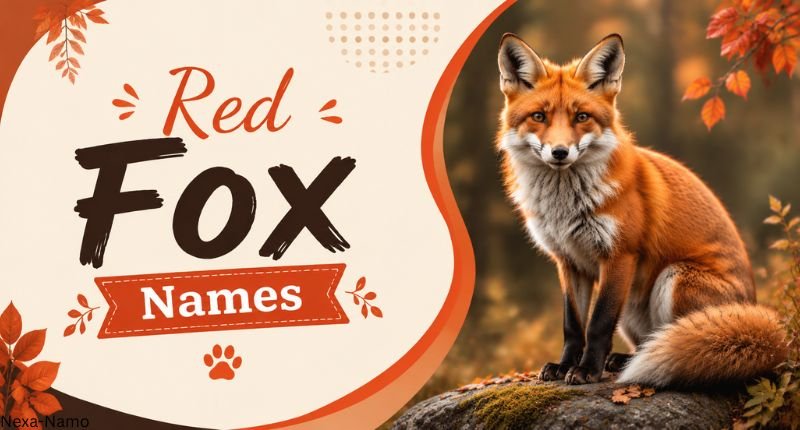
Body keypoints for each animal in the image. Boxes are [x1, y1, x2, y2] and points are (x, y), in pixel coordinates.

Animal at [495, 32, 788, 387]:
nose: (560, 152)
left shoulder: (619, 254)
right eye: (539, 116)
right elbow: (573, 325)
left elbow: (598, 324)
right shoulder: (568, 261)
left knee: (684, 342)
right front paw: (564, 366)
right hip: (633, 309)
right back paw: (623, 360)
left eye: (582, 117)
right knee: (649, 342)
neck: (565, 207)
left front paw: (587, 370)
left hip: (673, 278)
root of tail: (755, 308)